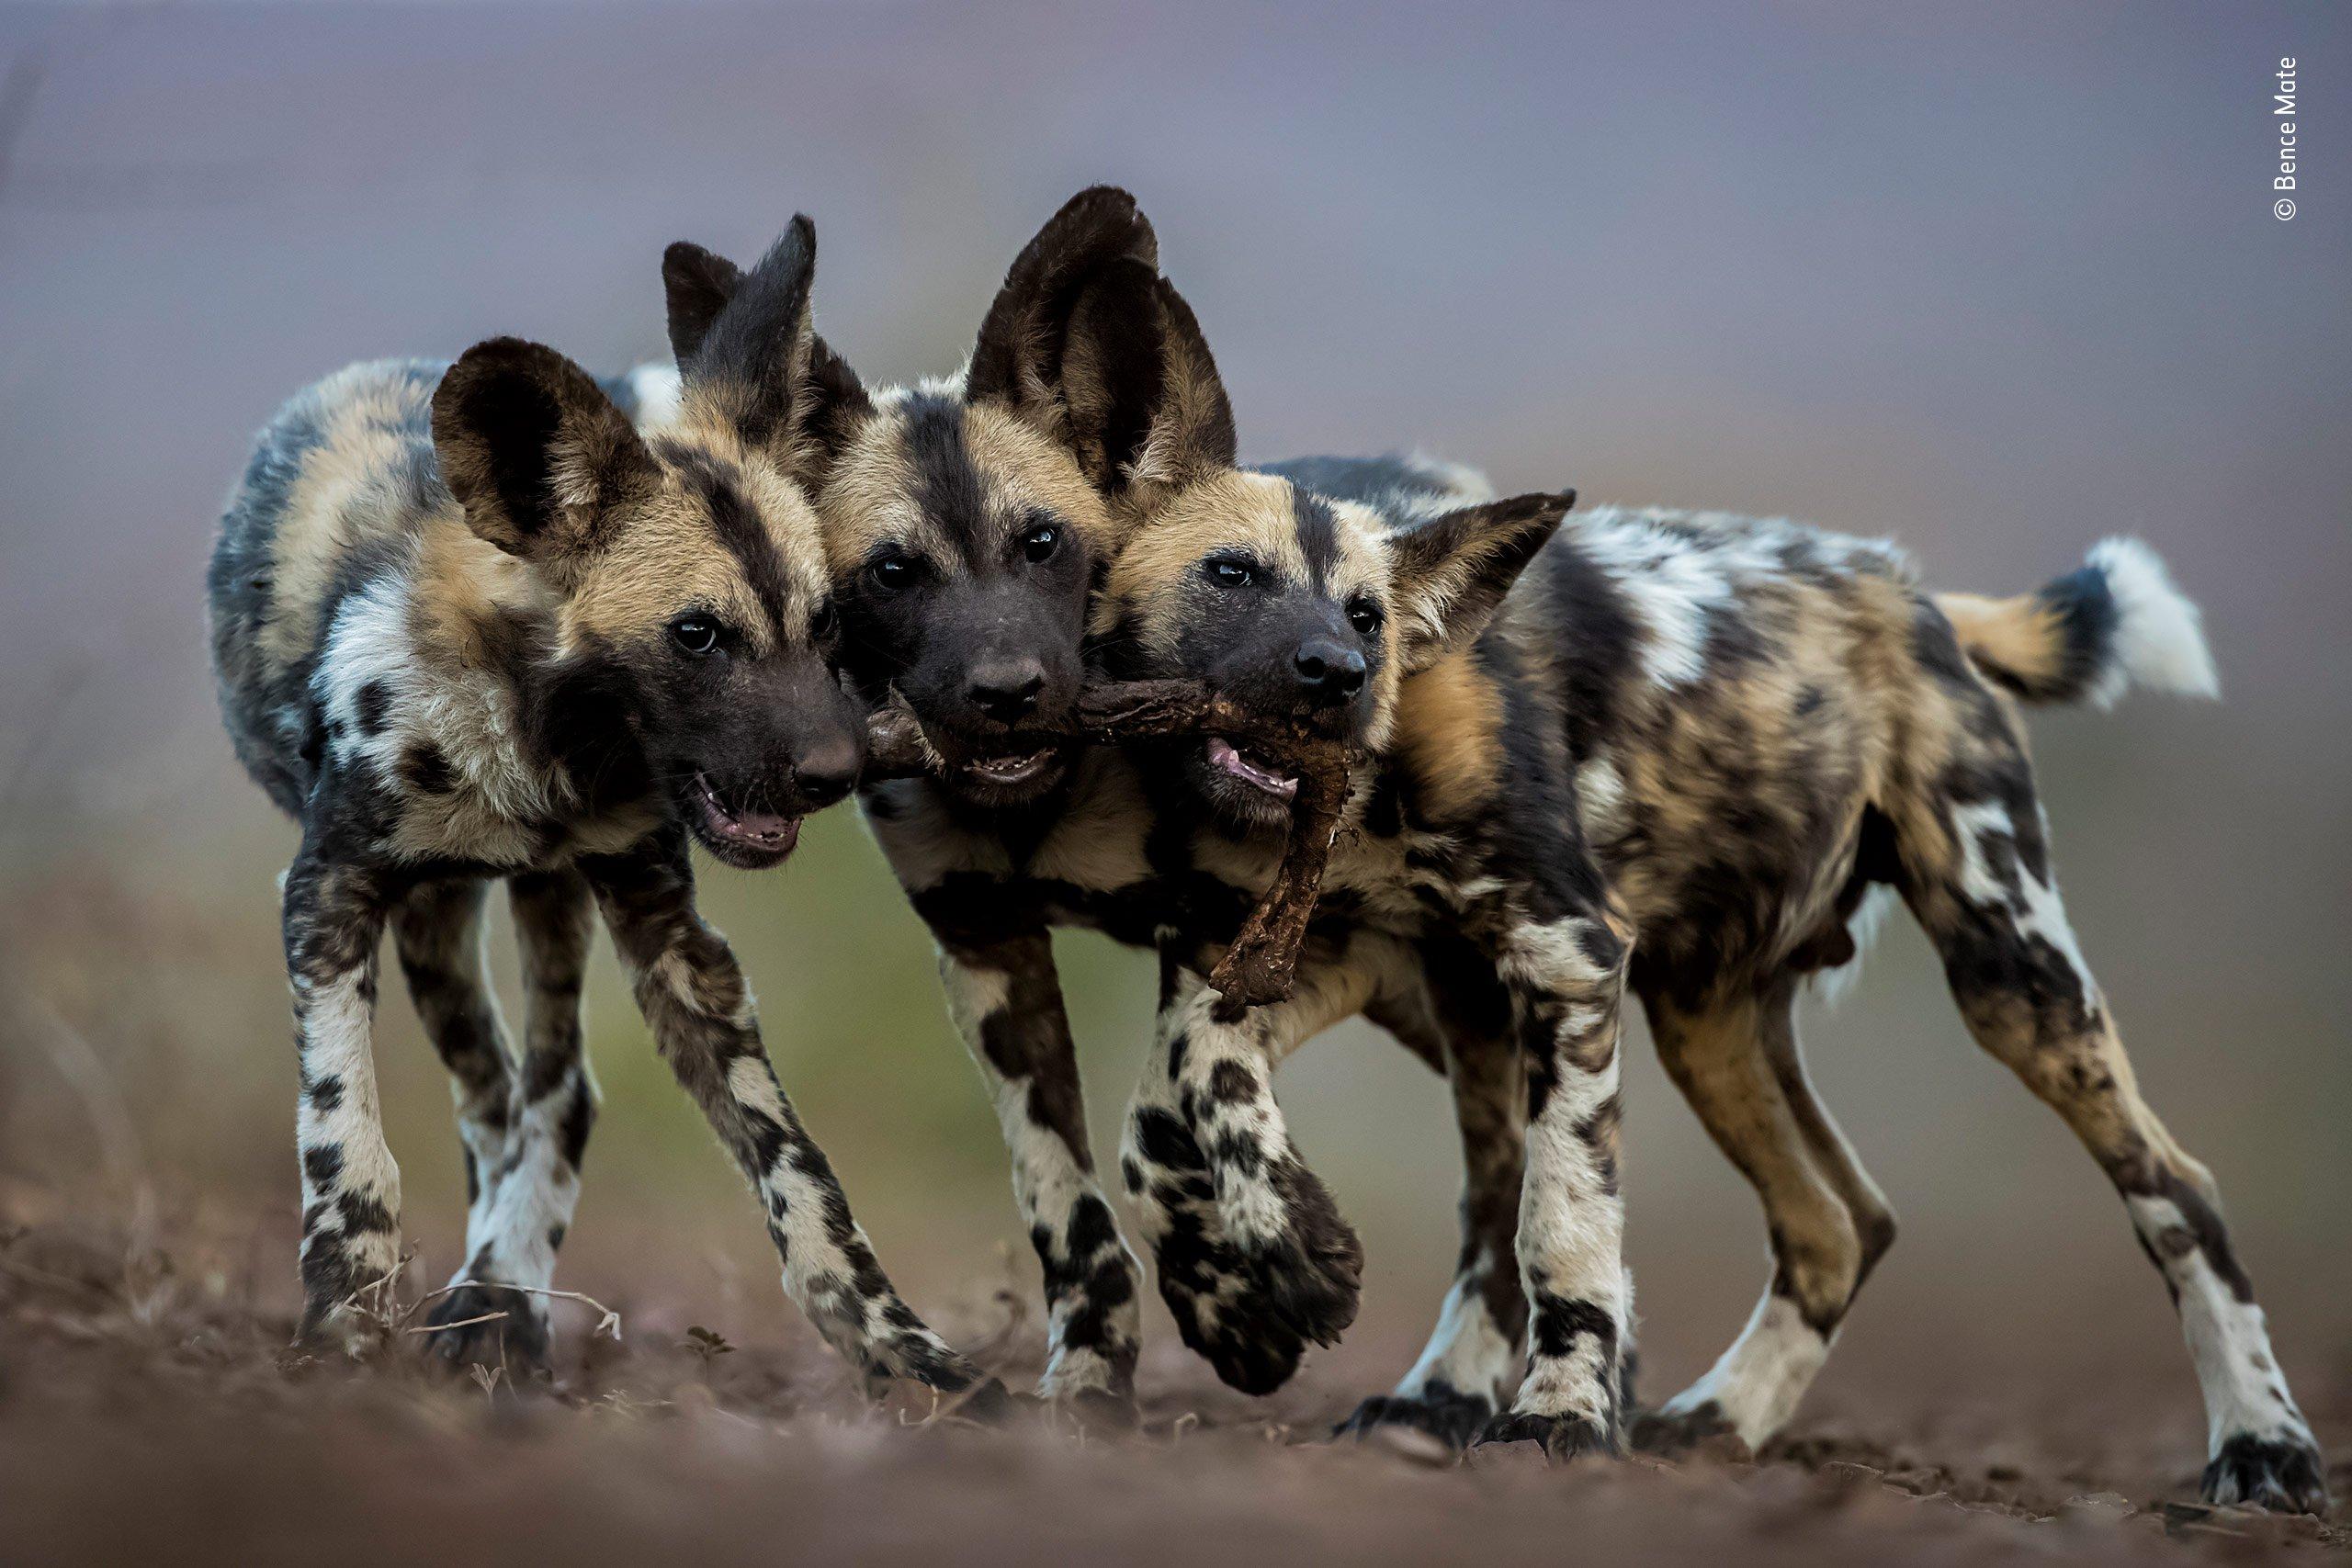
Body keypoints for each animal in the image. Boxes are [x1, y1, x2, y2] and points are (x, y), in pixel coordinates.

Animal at [209, 220, 1001, 1410]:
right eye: (697, 635)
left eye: (827, 622)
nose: (838, 771)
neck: (542, 757)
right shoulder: (329, 897)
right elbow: (346, 1136)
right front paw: (344, 1321)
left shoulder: (668, 931)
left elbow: (797, 1168)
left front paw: (903, 1352)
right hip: (440, 916)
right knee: (493, 1097)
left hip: (536, 902)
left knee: (555, 1094)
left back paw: (504, 1296)